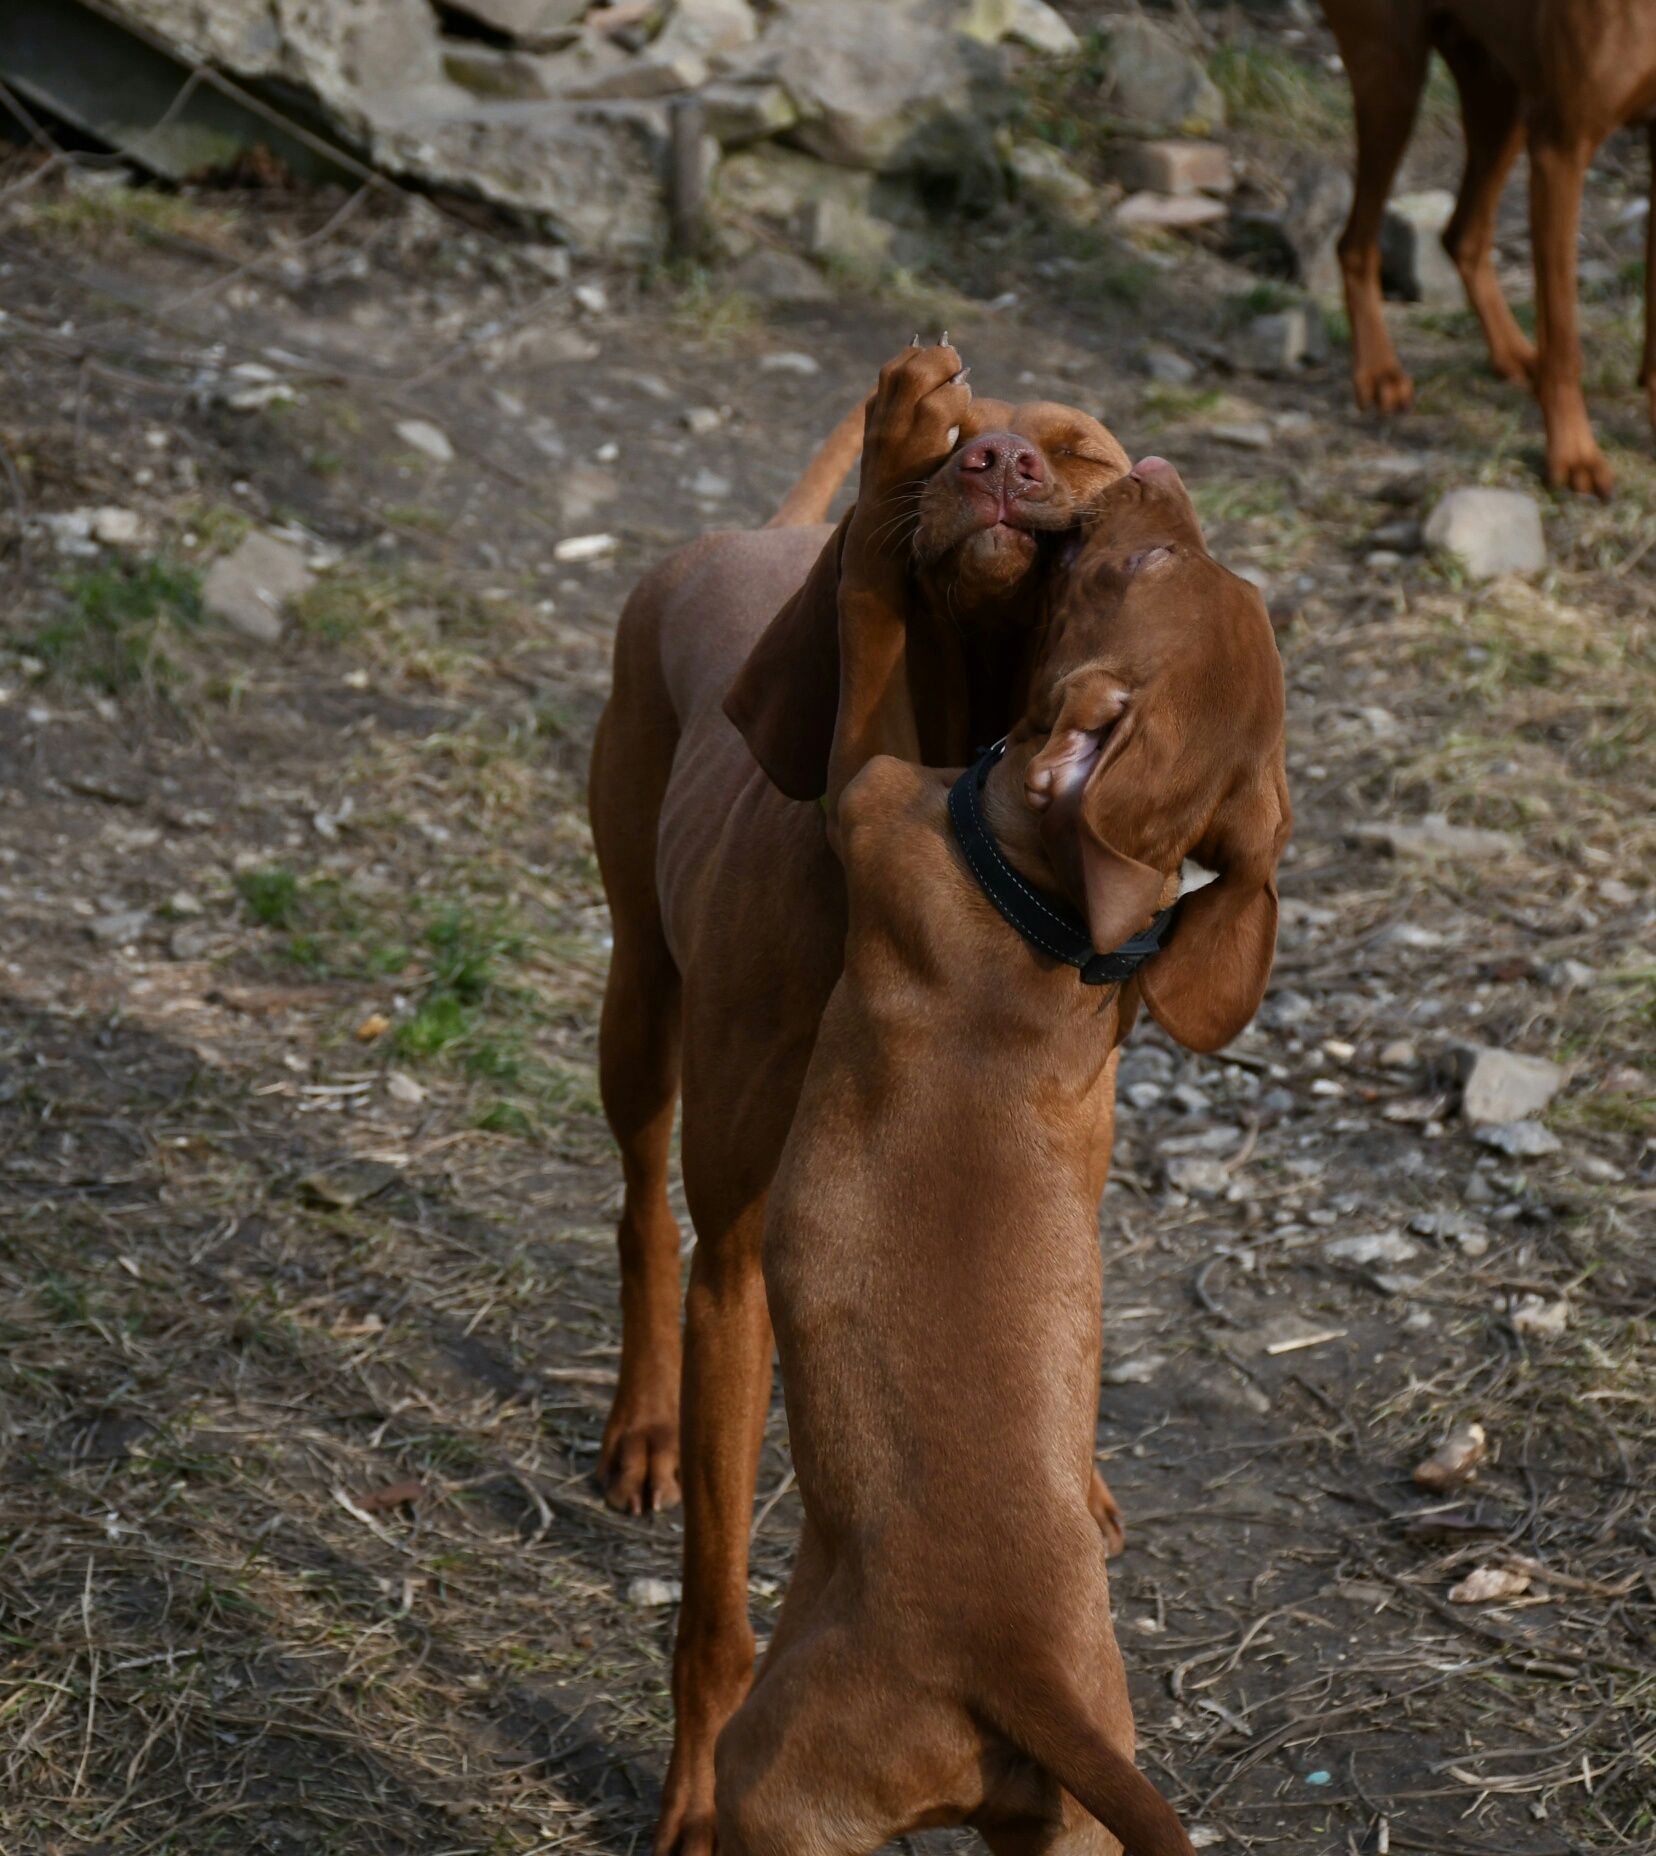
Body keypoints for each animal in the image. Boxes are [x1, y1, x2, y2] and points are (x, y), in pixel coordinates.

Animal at [590, 348, 1136, 1856]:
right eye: (952, 442)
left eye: (1084, 448)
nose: (997, 461)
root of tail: (743, 534)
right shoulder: (745, 1269)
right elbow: (718, 1612)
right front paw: (693, 1796)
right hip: (637, 997)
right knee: (640, 1207)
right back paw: (643, 1424)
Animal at [705, 361, 1284, 1856]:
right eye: (1188, 560)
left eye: (1140, 565)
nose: (1148, 469)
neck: (1048, 922)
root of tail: (1016, 1669)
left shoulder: (870, 789)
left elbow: (864, 599)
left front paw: (902, 424)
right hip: (1066, 1819)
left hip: (775, 1781)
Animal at [1321, 0, 1656, 493]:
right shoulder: (1560, 148)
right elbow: (1563, 339)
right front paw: (1573, 454)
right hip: (1393, 79)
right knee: (1355, 245)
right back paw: (1380, 372)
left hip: (1501, 94)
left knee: (1462, 235)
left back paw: (1513, 352)